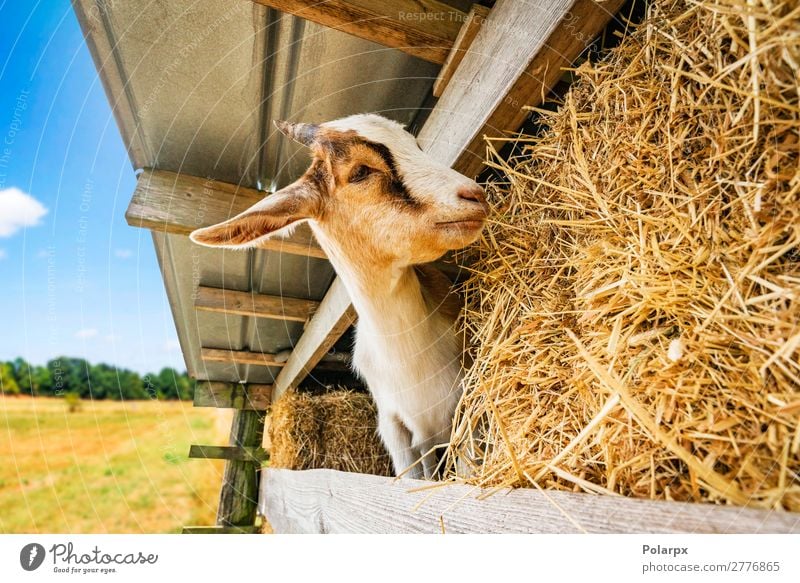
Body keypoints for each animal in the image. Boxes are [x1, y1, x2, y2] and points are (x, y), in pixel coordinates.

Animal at [192, 114, 488, 480]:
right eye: (360, 171)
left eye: (415, 145)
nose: (474, 195)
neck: (411, 359)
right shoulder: (398, 432)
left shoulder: (463, 411)